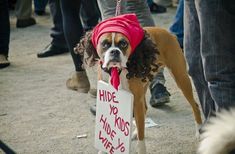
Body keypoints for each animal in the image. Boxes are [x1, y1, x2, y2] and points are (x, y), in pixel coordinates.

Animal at [75, 13, 202, 153]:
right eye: (105, 44)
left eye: (123, 43)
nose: (115, 51)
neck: (117, 70)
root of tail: (168, 33)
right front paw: (104, 149)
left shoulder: (136, 101)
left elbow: (142, 136)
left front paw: (140, 147)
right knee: (145, 110)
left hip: (181, 78)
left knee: (195, 105)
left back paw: (199, 132)